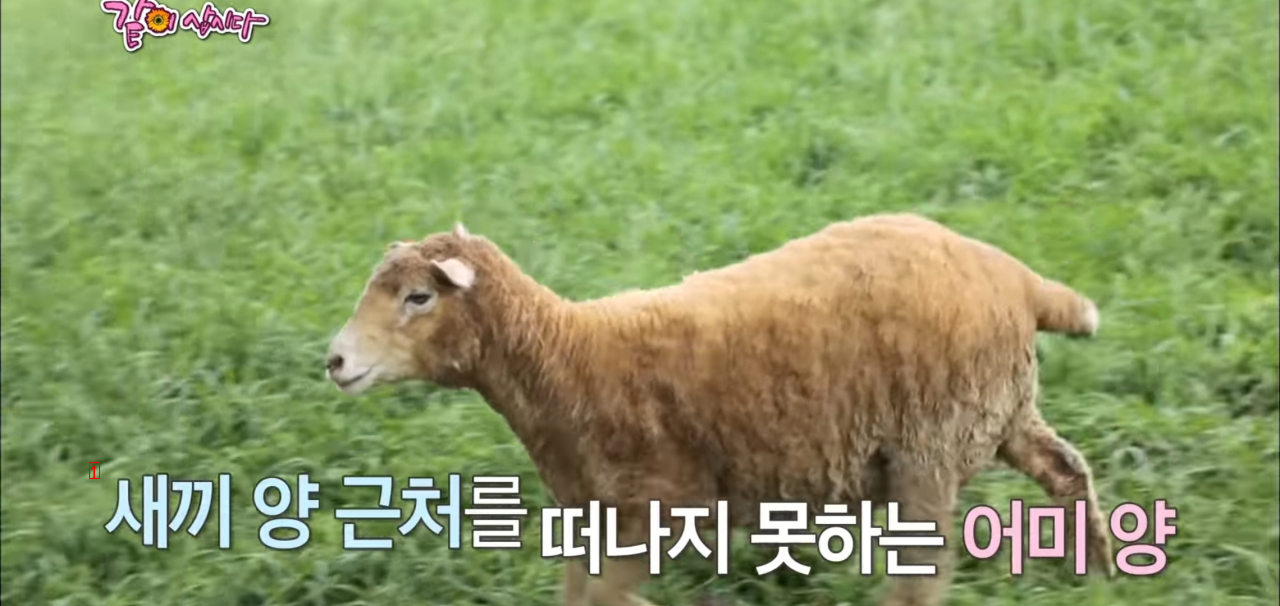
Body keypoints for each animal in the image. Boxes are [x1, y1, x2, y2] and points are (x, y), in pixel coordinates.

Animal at [325, 213, 1116, 604]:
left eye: (417, 297)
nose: (334, 360)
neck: (569, 358)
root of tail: (1014, 276)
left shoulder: (655, 510)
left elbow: (604, 600)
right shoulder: (593, 515)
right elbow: (580, 598)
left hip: (931, 446)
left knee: (924, 575)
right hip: (1001, 412)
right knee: (1067, 469)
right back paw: (1102, 574)